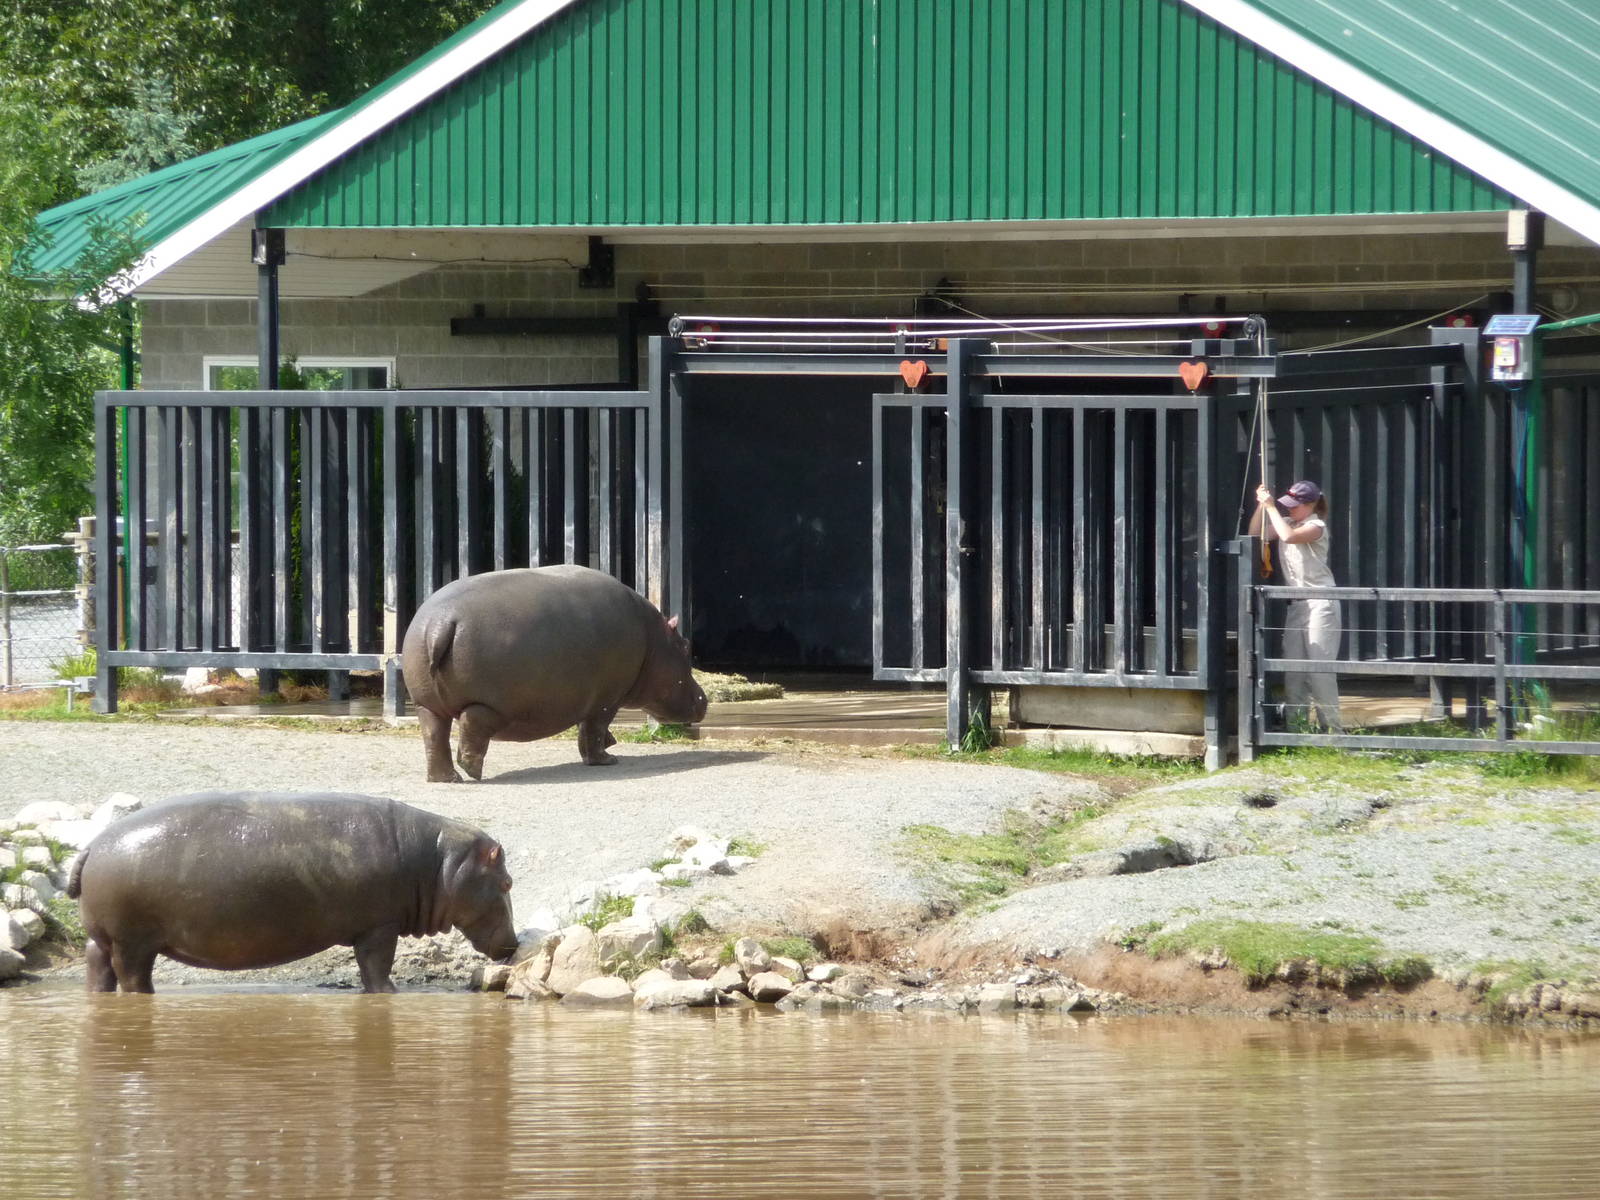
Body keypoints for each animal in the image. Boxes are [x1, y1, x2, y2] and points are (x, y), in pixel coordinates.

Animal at [68, 791, 518, 993]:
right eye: (508, 882)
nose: (514, 944)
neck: (440, 861)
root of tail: (90, 846)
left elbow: (369, 967)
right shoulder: (379, 926)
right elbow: (376, 966)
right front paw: (390, 995)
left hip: (103, 938)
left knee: (98, 967)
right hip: (132, 941)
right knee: (132, 976)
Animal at [401, 564, 707, 783]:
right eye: (685, 646)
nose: (704, 698)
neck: (654, 640)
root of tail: (440, 624)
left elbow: (590, 729)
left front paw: (610, 746)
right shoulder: (607, 699)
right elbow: (594, 729)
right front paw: (606, 760)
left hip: (426, 704)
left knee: (434, 736)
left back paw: (447, 778)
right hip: (494, 705)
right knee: (471, 724)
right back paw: (472, 771)